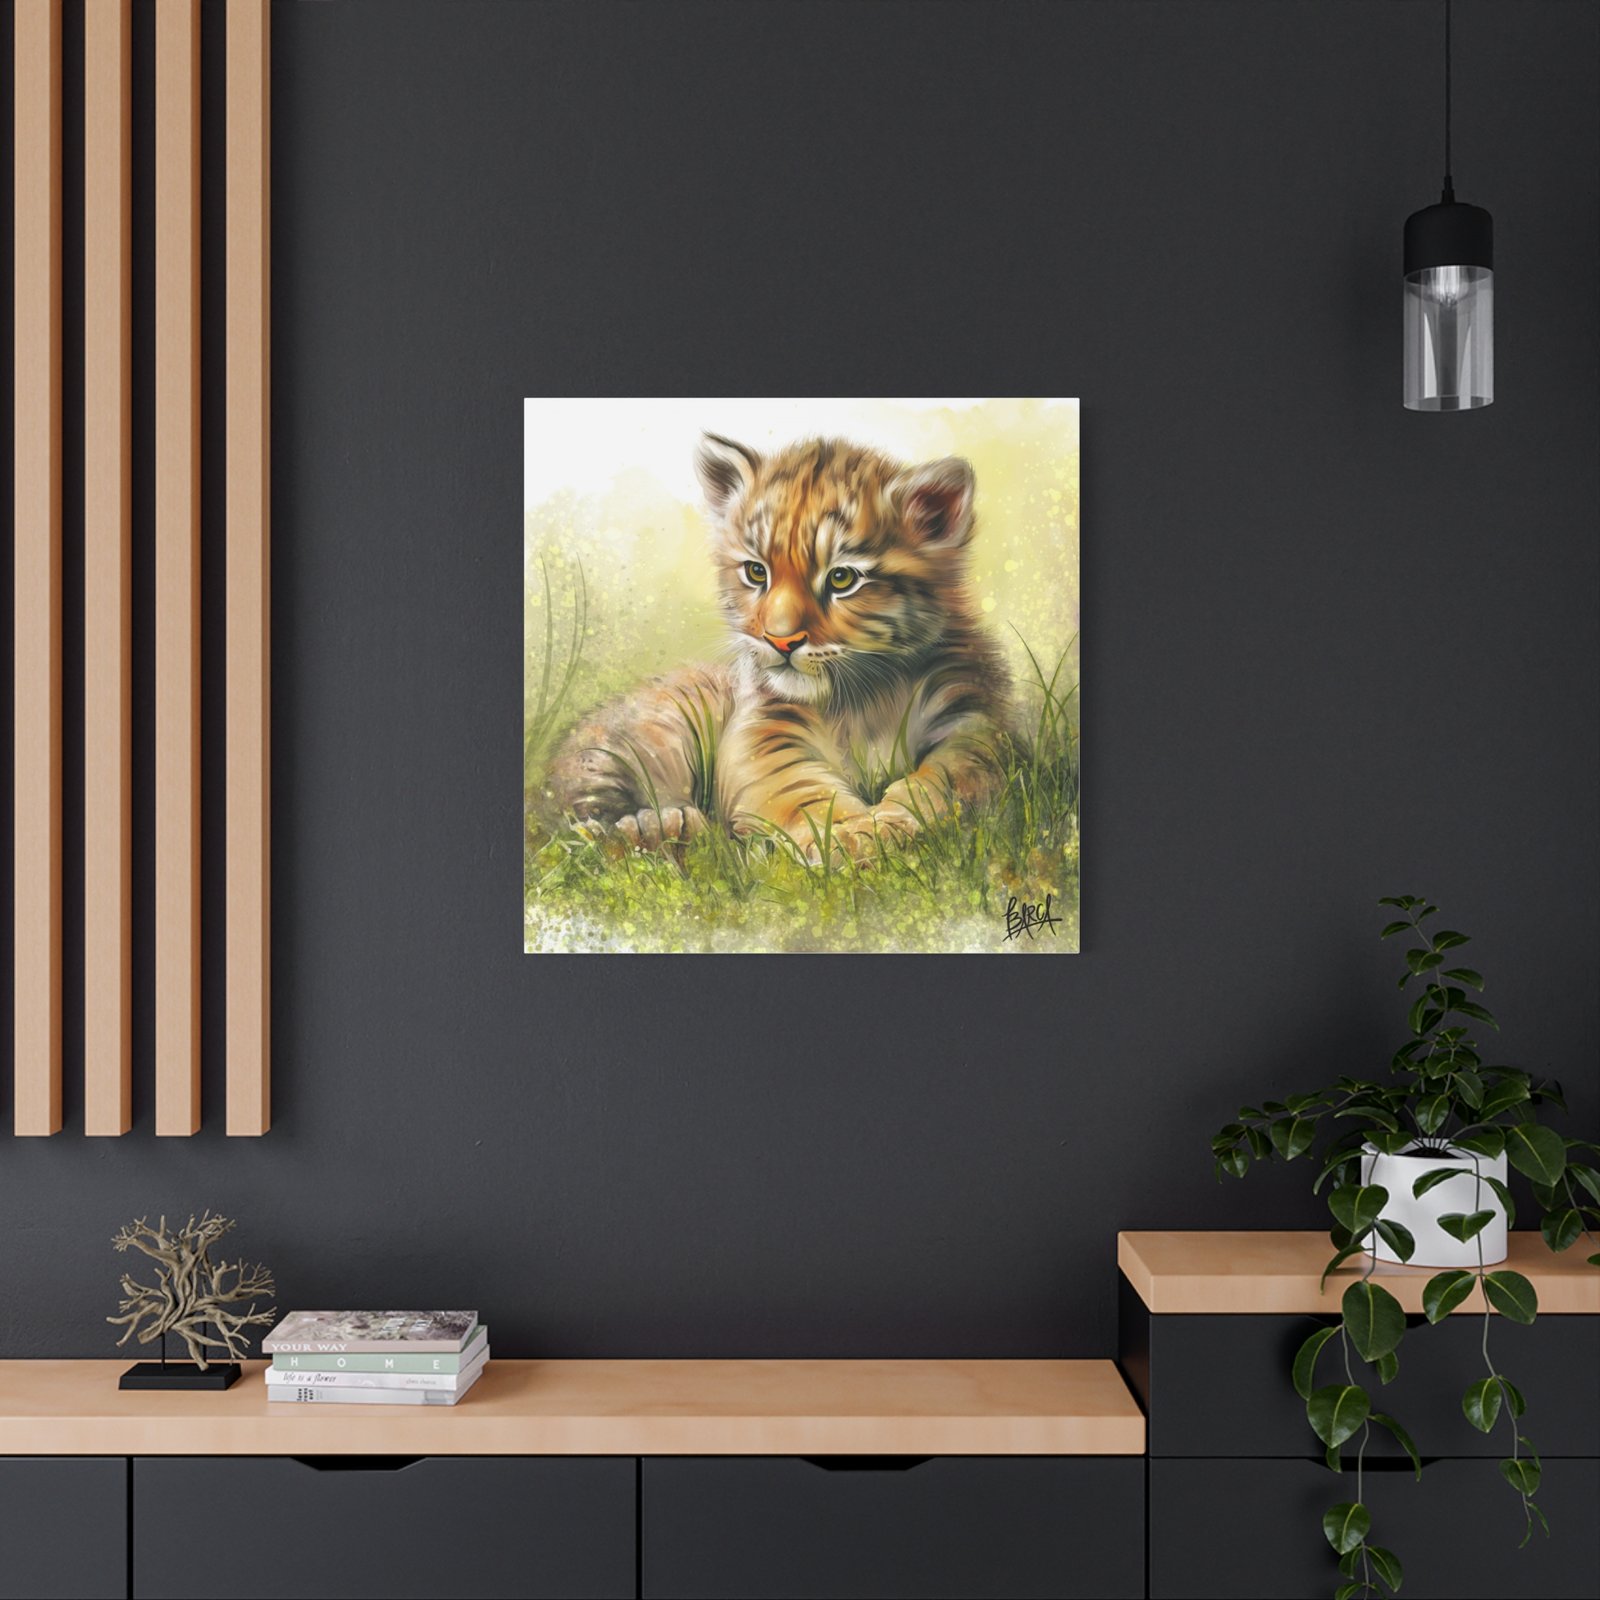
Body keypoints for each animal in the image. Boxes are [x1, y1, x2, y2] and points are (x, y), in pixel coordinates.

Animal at [543, 433, 1015, 861]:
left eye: (842, 578)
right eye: (756, 572)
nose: (780, 640)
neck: (863, 698)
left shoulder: (970, 721)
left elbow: (948, 777)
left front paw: (889, 824)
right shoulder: (765, 730)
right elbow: (799, 789)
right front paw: (849, 837)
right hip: (629, 743)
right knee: (579, 821)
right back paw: (661, 828)